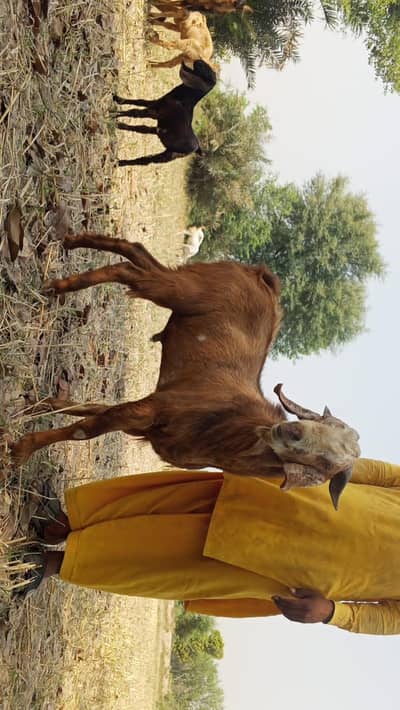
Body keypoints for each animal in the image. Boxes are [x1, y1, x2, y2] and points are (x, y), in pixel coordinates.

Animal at [8, 232, 361, 509]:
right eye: (320, 426)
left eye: (328, 463)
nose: (291, 432)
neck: (228, 428)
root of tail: (263, 277)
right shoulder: (153, 408)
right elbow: (85, 430)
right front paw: (20, 452)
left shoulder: (146, 420)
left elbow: (89, 410)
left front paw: (37, 407)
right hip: (184, 289)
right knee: (130, 269)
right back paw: (59, 281)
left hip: (184, 284)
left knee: (137, 255)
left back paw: (70, 246)